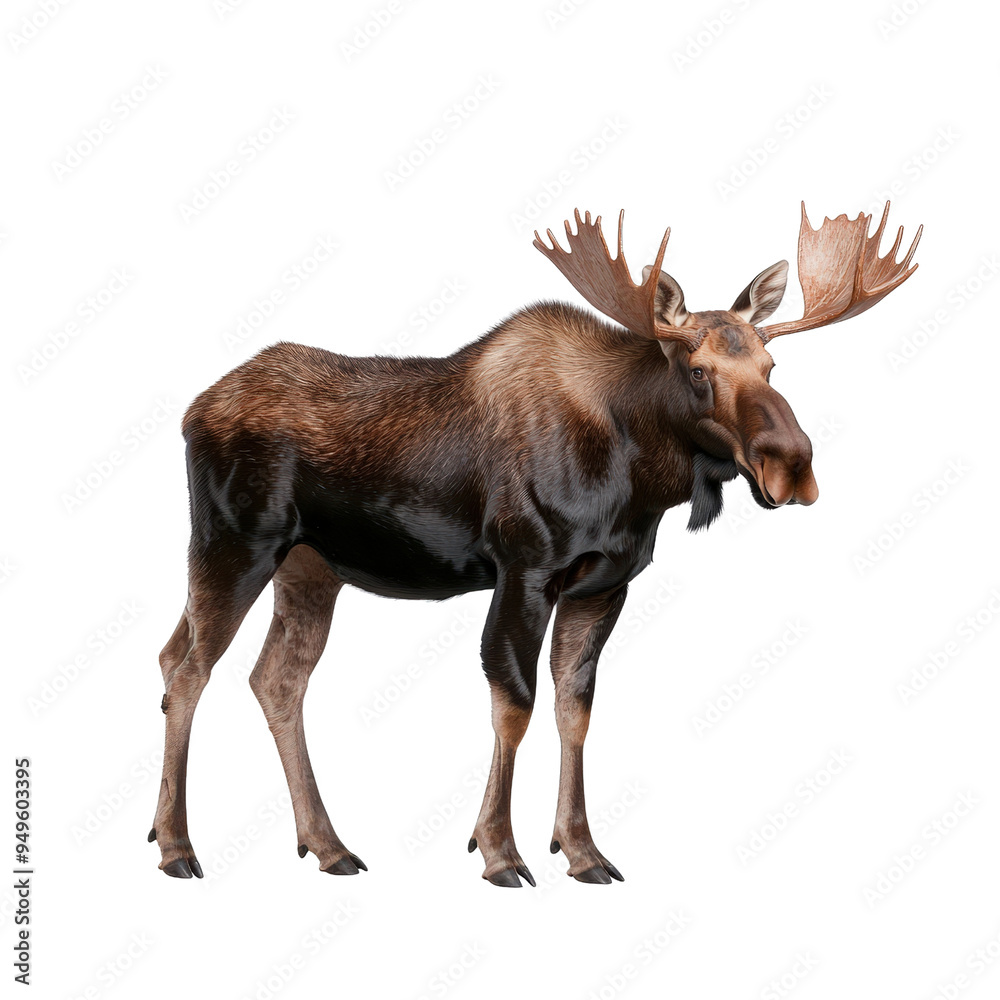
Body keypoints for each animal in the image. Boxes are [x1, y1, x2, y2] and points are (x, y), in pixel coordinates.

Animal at [149, 202, 921, 886]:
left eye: (770, 366)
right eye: (697, 369)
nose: (792, 465)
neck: (635, 473)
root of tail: (191, 411)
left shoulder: (603, 584)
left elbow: (574, 709)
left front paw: (581, 851)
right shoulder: (523, 569)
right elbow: (513, 703)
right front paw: (500, 851)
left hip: (311, 567)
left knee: (271, 676)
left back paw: (327, 844)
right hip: (234, 543)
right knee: (187, 669)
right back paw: (177, 846)